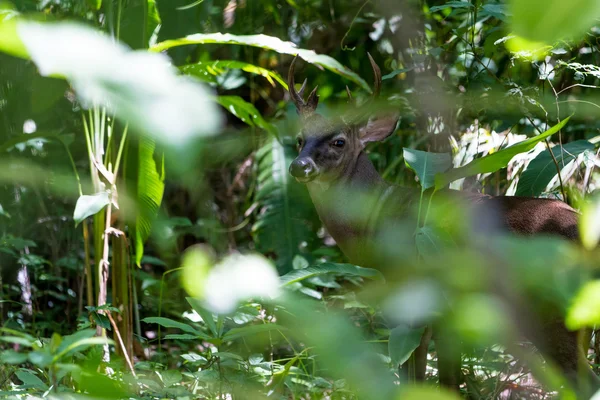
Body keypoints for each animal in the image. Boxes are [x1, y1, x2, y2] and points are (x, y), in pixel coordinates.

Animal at [284, 54, 596, 396]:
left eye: (339, 142)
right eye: (299, 140)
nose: (299, 165)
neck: (375, 218)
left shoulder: (408, 294)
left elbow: (413, 371)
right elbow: (447, 378)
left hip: (551, 309)